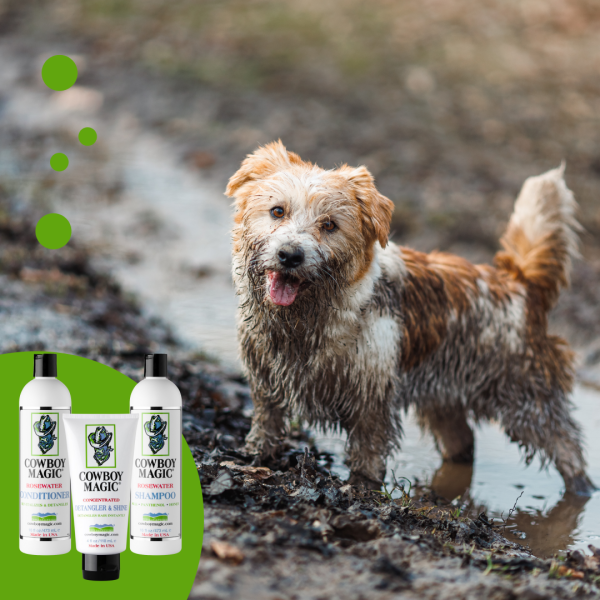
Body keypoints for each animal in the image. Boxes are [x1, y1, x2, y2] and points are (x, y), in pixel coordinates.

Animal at [226, 139, 596, 492]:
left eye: (329, 225)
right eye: (277, 211)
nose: (290, 255)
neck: (306, 322)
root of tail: (518, 282)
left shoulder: (372, 397)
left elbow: (369, 449)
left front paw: (362, 486)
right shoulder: (265, 379)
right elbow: (266, 422)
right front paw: (255, 456)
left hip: (528, 400)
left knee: (568, 447)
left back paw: (581, 490)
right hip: (445, 400)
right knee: (464, 444)